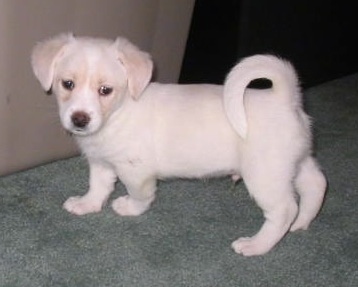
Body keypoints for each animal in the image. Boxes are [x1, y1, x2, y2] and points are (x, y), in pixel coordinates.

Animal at [31, 33, 328, 256]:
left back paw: (256, 245)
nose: (79, 119)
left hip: (264, 175)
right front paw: (87, 205)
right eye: (67, 84)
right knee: (316, 184)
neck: (119, 112)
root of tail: (285, 98)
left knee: (284, 210)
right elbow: (98, 187)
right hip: (294, 163)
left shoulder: (135, 171)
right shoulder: (101, 163)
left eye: (106, 90)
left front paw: (129, 208)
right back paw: (303, 222)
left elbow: (140, 195)